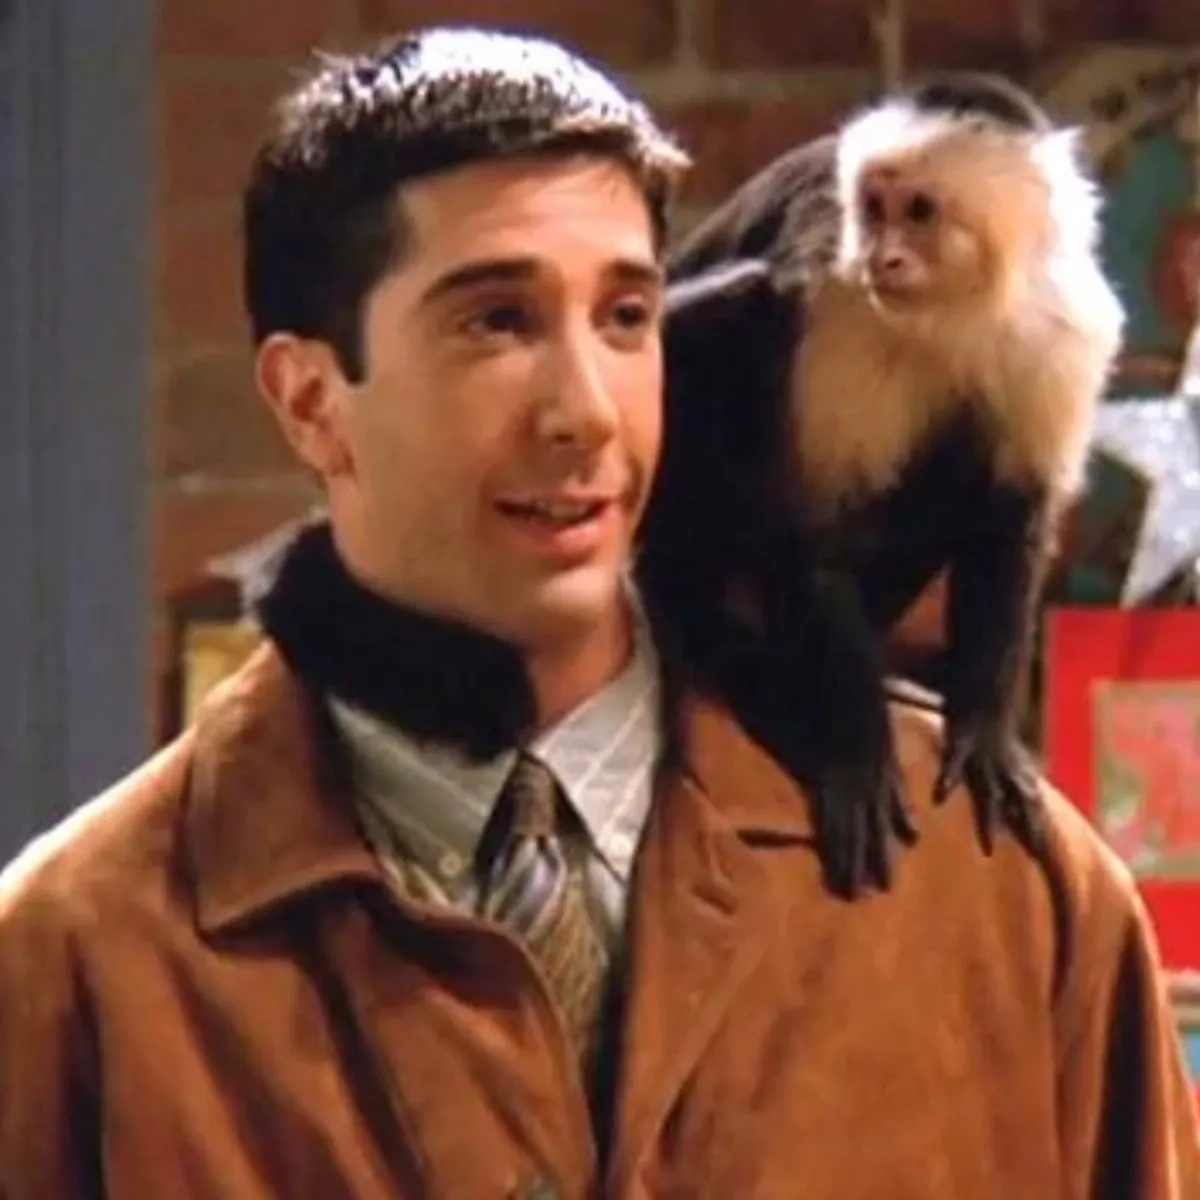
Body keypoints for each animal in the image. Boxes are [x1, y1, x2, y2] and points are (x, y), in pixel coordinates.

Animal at [637, 72, 1124, 899]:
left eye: (919, 211)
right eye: (872, 209)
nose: (885, 258)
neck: (961, 309)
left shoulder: (1062, 326)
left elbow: (1014, 518)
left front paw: (985, 731)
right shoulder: (835, 303)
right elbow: (812, 533)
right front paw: (857, 754)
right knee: (732, 311)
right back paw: (712, 631)